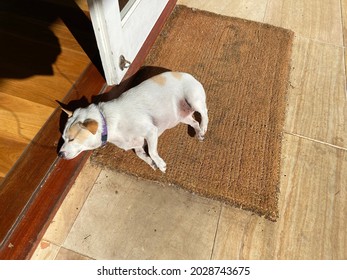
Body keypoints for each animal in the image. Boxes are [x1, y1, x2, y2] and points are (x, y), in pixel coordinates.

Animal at [58, 71, 208, 173]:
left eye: (72, 139)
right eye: (64, 138)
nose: (59, 154)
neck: (107, 121)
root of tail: (190, 76)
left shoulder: (151, 131)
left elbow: (152, 151)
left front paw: (160, 164)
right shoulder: (137, 145)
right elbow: (141, 154)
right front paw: (152, 163)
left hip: (193, 100)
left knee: (204, 113)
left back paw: (204, 127)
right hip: (182, 117)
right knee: (194, 122)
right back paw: (199, 133)